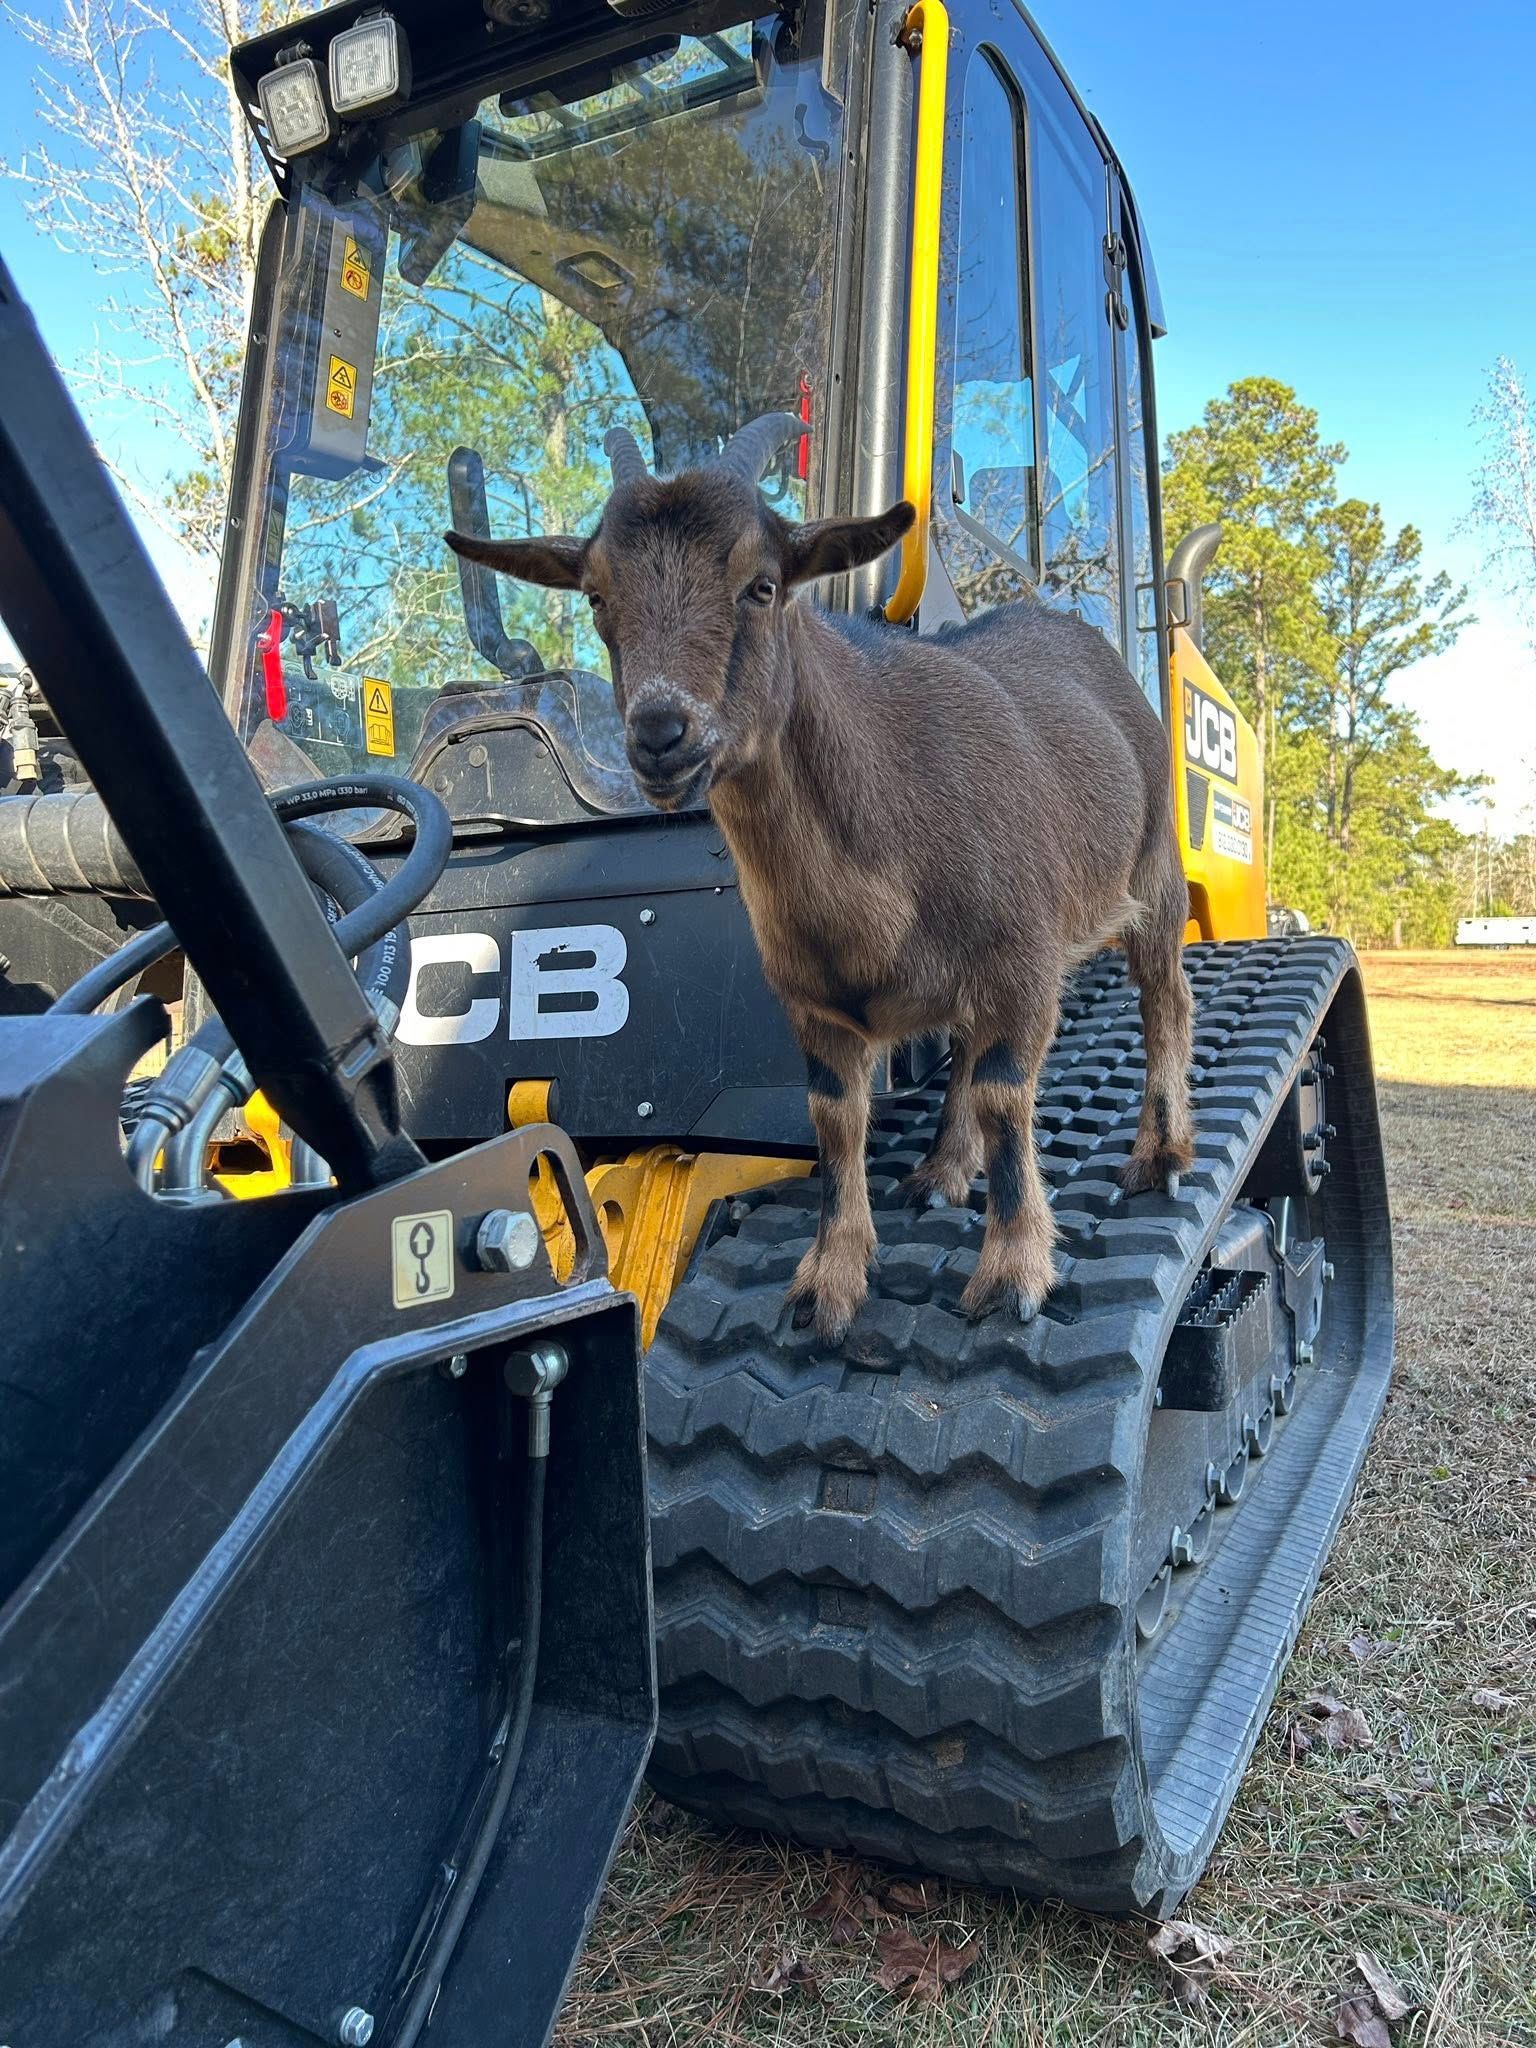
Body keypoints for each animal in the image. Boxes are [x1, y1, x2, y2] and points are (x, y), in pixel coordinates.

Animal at [446, 415, 1194, 1342]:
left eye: (763, 585)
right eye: (594, 597)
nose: (660, 734)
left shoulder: (1022, 964)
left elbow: (1004, 1098)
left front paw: (1014, 1272)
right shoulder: (813, 1004)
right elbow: (837, 1122)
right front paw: (827, 1284)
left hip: (1154, 869)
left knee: (1165, 998)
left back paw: (1159, 1154)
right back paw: (942, 1171)